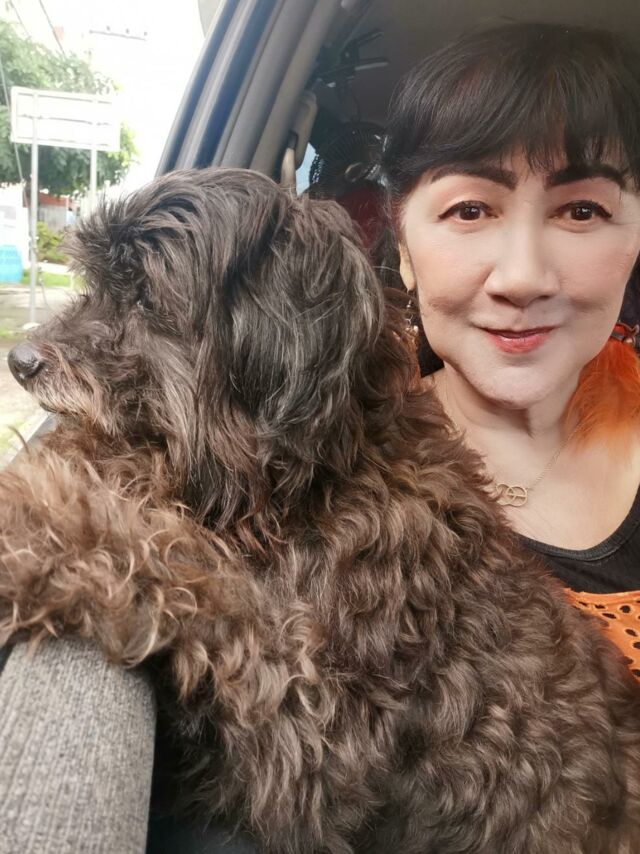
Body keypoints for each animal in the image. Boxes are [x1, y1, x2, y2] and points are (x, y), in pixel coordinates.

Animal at [2, 167, 640, 854]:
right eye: (99, 282)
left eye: (145, 298)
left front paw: (31, 522)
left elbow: (188, 575)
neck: (318, 480)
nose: (20, 360)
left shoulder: (305, 737)